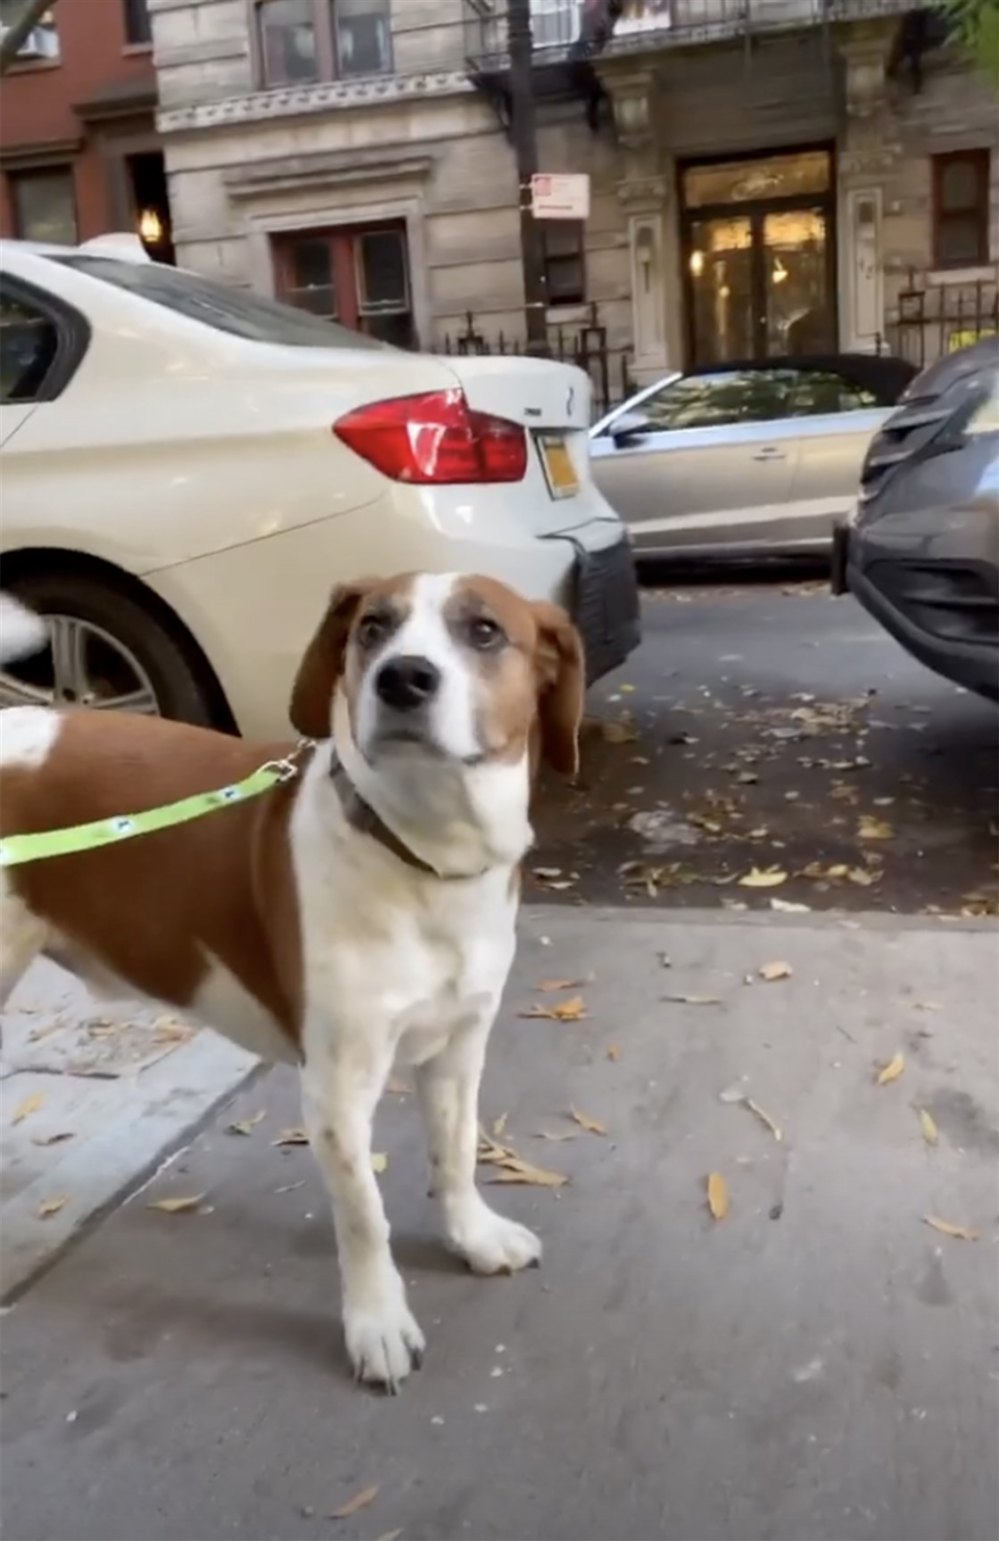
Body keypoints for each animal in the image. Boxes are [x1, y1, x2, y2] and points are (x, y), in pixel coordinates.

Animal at [0, 573, 585, 1393]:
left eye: (484, 631)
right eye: (373, 627)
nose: (403, 678)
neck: (422, 856)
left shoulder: (458, 1047)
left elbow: (457, 1151)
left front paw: (471, 1236)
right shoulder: (337, 1087)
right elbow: (364, 1215)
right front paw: (377, 1322)